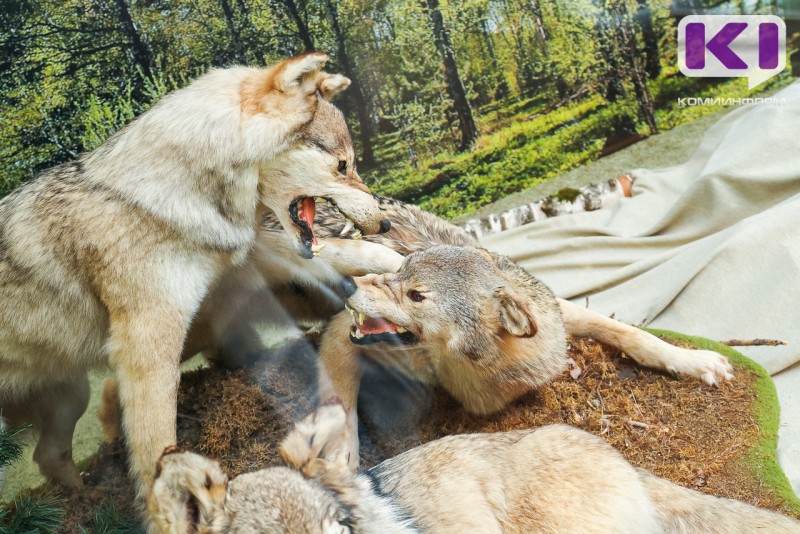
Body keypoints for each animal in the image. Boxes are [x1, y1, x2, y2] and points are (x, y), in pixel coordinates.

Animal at [0, 52, 390, 500]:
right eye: (343, 165)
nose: (383, 223)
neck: (163, 195)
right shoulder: (148, 353)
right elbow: (157, 448)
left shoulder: (242, 260)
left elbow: (324, 254)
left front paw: (389, 260)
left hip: (73, 394)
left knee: (48, 456)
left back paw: (85, 498)